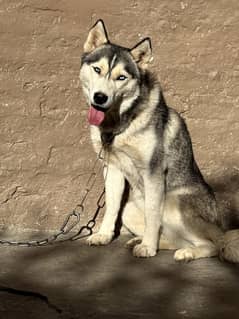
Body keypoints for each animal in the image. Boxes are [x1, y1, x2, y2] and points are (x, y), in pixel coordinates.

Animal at [80, 20, 239, 264]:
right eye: (97, 70)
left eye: (121, 77)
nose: (100, 97)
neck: (119, 124)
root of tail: (219, 228)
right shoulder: (113, 168)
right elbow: (111, 207)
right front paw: (104, 235)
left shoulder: (153, 172)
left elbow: (153, 215)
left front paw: (147, 247)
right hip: (131, 210)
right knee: (176, 239)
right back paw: (143, 242)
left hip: (174, 206)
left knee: (211, 245)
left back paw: (185, 252)